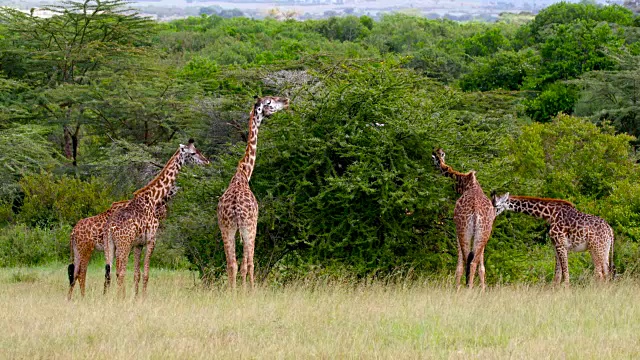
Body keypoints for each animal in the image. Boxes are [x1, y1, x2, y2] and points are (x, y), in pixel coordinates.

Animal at [102, 139, 208, 296]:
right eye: (193, 153)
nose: (206, 161)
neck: (153, 199)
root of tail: (109, 228)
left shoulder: (138, 244)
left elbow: (137, 274)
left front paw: (136, 297)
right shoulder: (151, 240)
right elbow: (146, 274)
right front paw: (143, 297)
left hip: (110, 246)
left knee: (109, 272)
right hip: (124, 245)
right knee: (120, 272)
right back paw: (120, 297)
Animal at [220, 96, 290, 290]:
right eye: (271, 101)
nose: (286, 100)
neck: (243, 173)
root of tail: (235, 207)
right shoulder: (254, 224)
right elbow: (249, 263)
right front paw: (250, 291)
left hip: (226, 227)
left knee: (231, 264)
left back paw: (231, 292)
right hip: (248, 226)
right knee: (247, 263)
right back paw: (246, 291)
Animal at [432, 148, 498, 292]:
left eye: (432, 159)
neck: (466, 184)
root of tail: (475, 210)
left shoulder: (457, 231)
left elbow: (459, 265)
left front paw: (456, 289)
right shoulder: (484, 238)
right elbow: (482, 267)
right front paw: (483, 290)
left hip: (464, 231)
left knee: (467, 261)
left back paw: (466, 290)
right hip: (483, 234)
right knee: (474, 262)